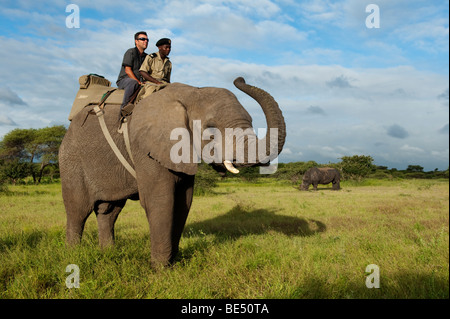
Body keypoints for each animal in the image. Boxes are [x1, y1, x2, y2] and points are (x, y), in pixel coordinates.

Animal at [59, 78, 284, 270]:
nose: (240, 79)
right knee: (78, 210)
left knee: (109, 210)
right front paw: (160, 270)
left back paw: (108, 253)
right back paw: (73, 255)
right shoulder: (146, 149)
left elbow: (184, 202)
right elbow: (161, 200)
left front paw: (174, 264)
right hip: (71, 160)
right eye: (211, 130)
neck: (192, 92)